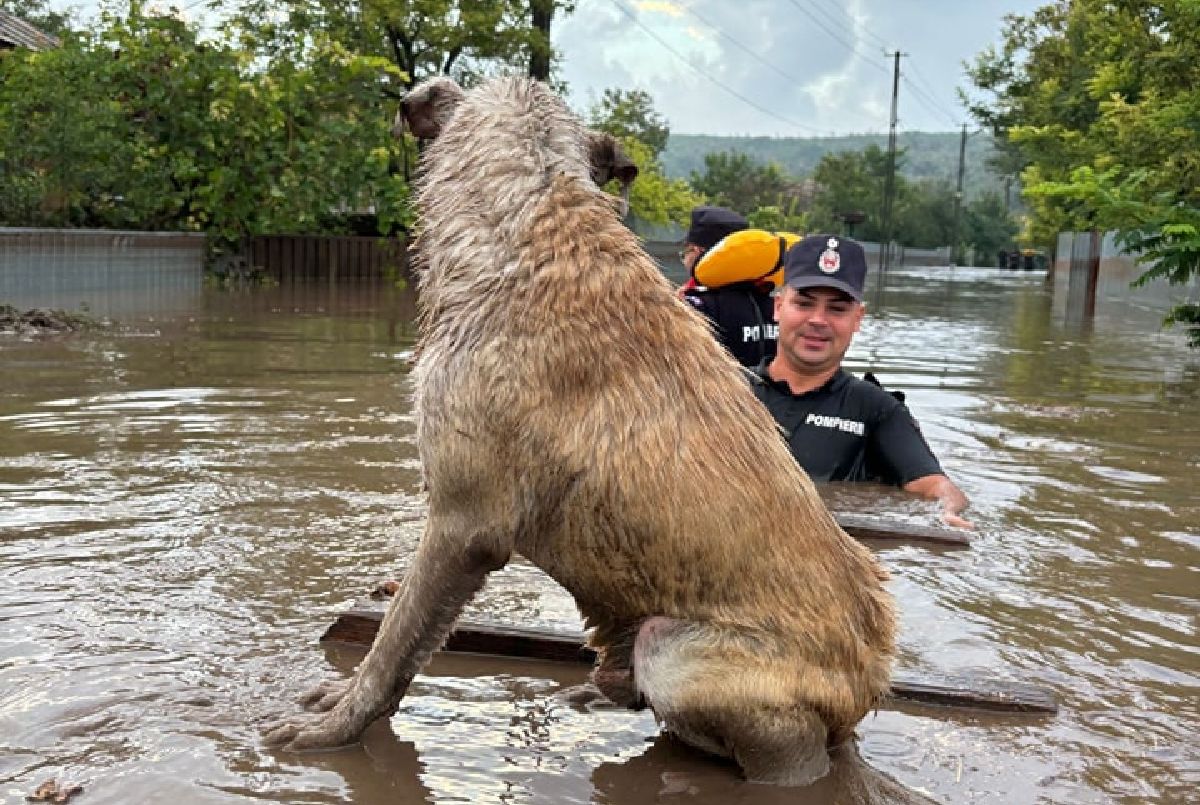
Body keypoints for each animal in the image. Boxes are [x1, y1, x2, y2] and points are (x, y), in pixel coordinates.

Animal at [267, 77, 897, 787]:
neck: (531, 222)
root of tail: (867, 687)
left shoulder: (464, 525)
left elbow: (393, 646)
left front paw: (334, 726)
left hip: (678, 654)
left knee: (789, 751)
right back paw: (597, 694)